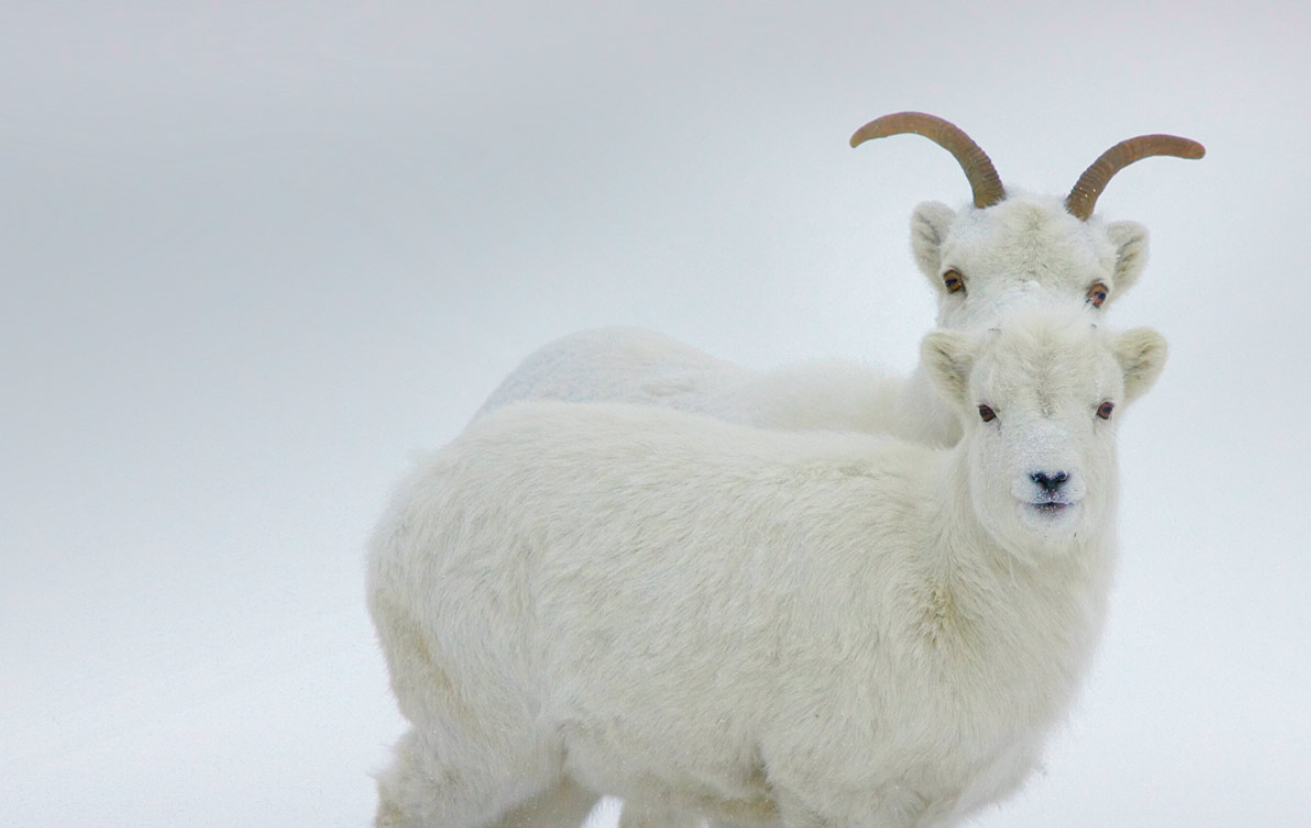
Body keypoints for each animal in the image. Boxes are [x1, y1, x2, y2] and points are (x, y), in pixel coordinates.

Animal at [367, 303, 1169, 828]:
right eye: (985, 410)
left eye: (1105, 408)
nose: (1049, 480)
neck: (944, 569)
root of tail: (412, 489)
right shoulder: (830, 787)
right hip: (478, 732)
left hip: (553, 765)